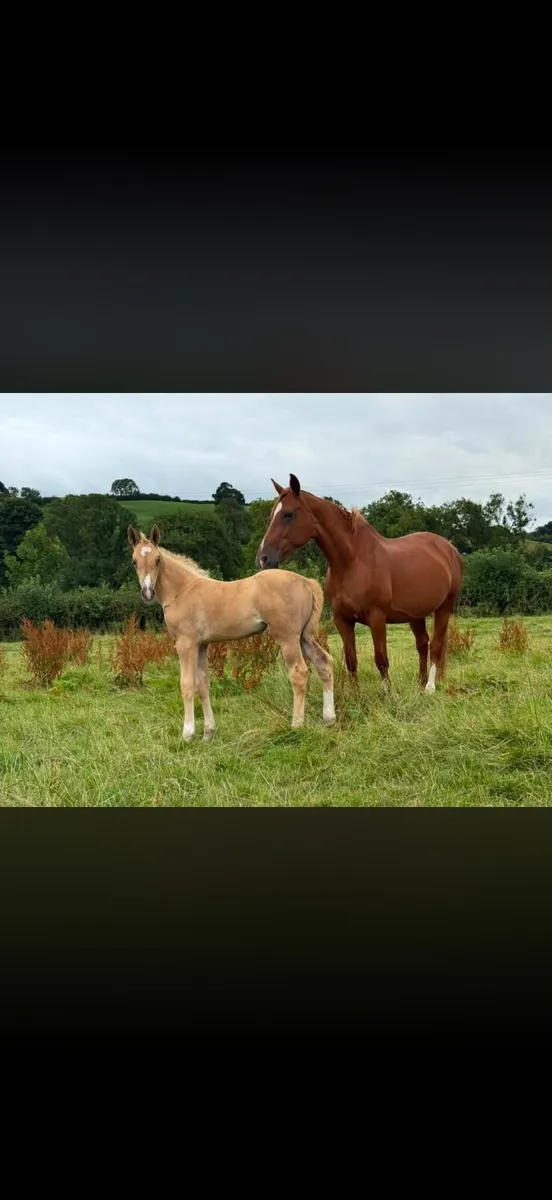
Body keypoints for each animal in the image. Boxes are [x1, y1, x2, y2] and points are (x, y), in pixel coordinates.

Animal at [128, 524, 336, 742]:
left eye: (157, 560)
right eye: (134, 561)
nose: (147, 592)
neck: (182, 591)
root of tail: (306, 581)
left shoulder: (186, 644)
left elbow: (187, 685)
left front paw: (188, 733)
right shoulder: (202, 645)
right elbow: (203, 685)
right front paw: (208, 733)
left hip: (288, 638)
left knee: (299, 672)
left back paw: (296, 725)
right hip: (304, 637)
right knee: (324, 663)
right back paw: (329, 718)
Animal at [257, 475, 464, 695]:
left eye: (288, 514)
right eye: (272, 515)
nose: (263, 558)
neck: (351, 562)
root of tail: (449, 548)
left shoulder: (377, 617)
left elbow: (381, 659)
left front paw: (387, 694)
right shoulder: (342, 619)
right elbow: (351, 660)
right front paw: (355, 695)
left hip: (444, 608)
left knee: (436, 645)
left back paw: (430, 687)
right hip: (415, 614)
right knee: (423, 644)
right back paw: (420, 683)